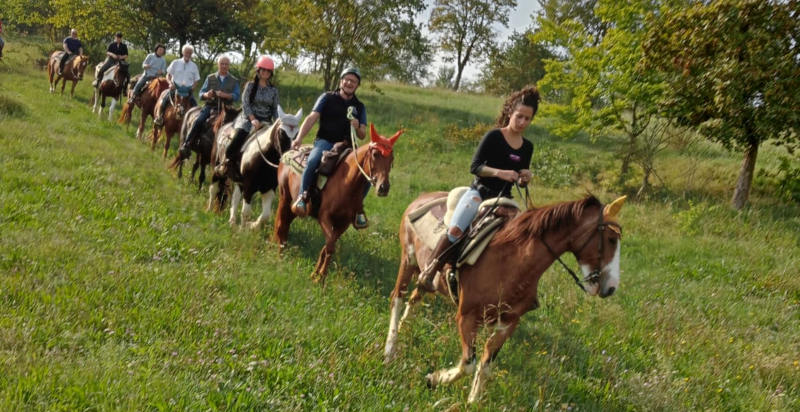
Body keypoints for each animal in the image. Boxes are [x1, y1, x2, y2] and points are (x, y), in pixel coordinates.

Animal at [272, 124, 403, 284]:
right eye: (375, 154)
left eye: (392, 158)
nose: (383, 188)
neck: (346, 183)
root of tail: (288, 152)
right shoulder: (324, 217)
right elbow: (330, 247)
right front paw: (320, 278)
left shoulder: (343, 223)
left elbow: (328, 246)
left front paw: (315, 274)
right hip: (284, 197)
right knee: (280, 224)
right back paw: (280, 255)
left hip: (294, 209)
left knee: (286, 224)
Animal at [382, 194, 627, 403]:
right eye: (611, 239)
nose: (611, 288)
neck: (511, 261)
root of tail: (421, 199)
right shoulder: (467, 318)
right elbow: (469, 363)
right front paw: (433, 379)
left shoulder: (508, 323)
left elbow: (485, 365)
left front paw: (472, 401)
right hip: (408, 261)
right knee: (397, 299)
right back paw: (389, 350)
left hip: (426, 277)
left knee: (414, 298)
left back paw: (404, 330)